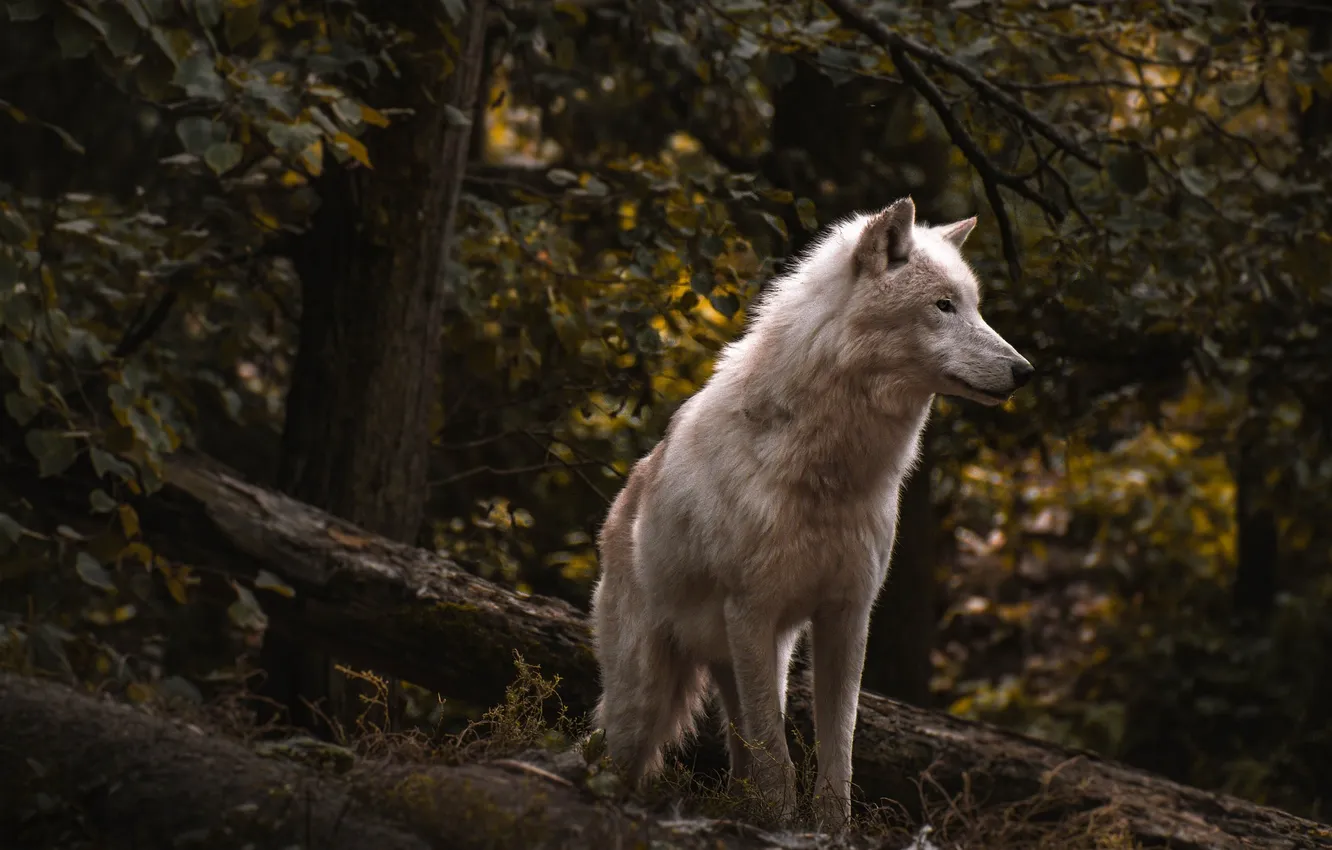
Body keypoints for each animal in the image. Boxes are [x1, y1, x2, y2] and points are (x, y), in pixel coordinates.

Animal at [589, 197, 1032, 827]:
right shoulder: (750, 610)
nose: (1026, 372)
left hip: (758, 662)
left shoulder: (847, 615)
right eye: (943, 305)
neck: (830, 475)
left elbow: (836, 749)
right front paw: (780, 822)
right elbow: (777, 757)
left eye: (974, 306)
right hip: (649, 695)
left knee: (740, 749)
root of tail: (619, 507)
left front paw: (829, 827)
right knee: (619, 749)